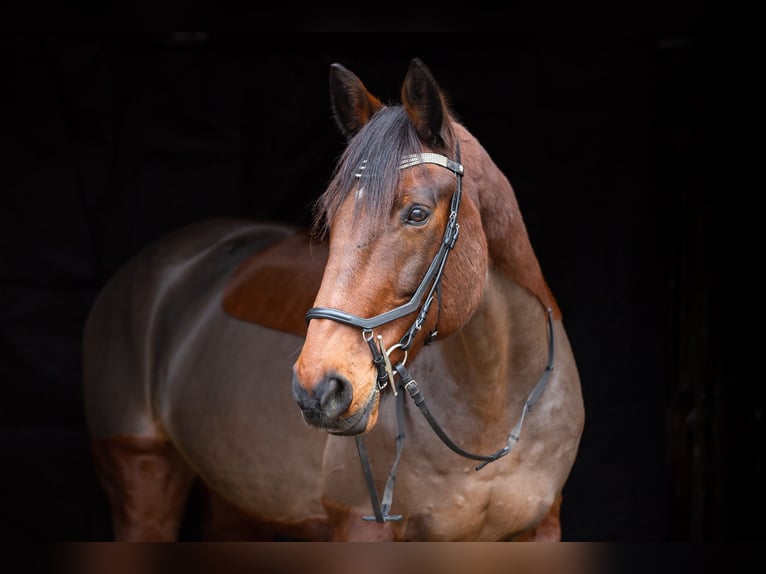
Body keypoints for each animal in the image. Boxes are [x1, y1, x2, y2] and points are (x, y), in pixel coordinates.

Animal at [82, 58, 585, 541]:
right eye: (331, 216)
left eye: (417, 213)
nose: (319, 388)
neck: (491, 410)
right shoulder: (359, 525)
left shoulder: (544, 527)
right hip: (142, 473)